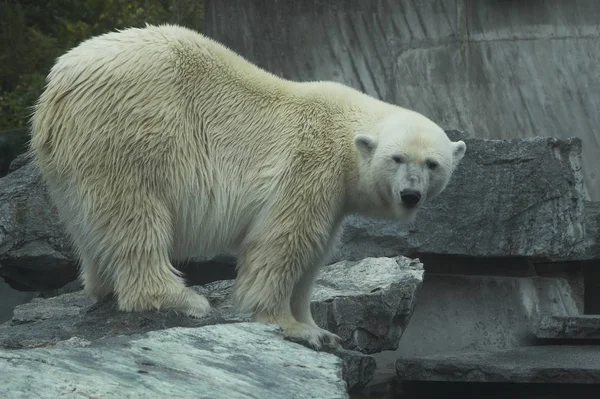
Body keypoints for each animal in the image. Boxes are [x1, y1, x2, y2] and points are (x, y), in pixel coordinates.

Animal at [29, 24, 468, 350]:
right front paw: (291, 325)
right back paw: (182, 298)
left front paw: (320, 328)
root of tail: (57, 86)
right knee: (135, 215)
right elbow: (284, 243)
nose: (410, 194)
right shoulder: (309, 167)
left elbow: (315, 255)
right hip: (129, 133)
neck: (344, 132)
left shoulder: (335, 196)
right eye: (397, 159)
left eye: (432, 164)